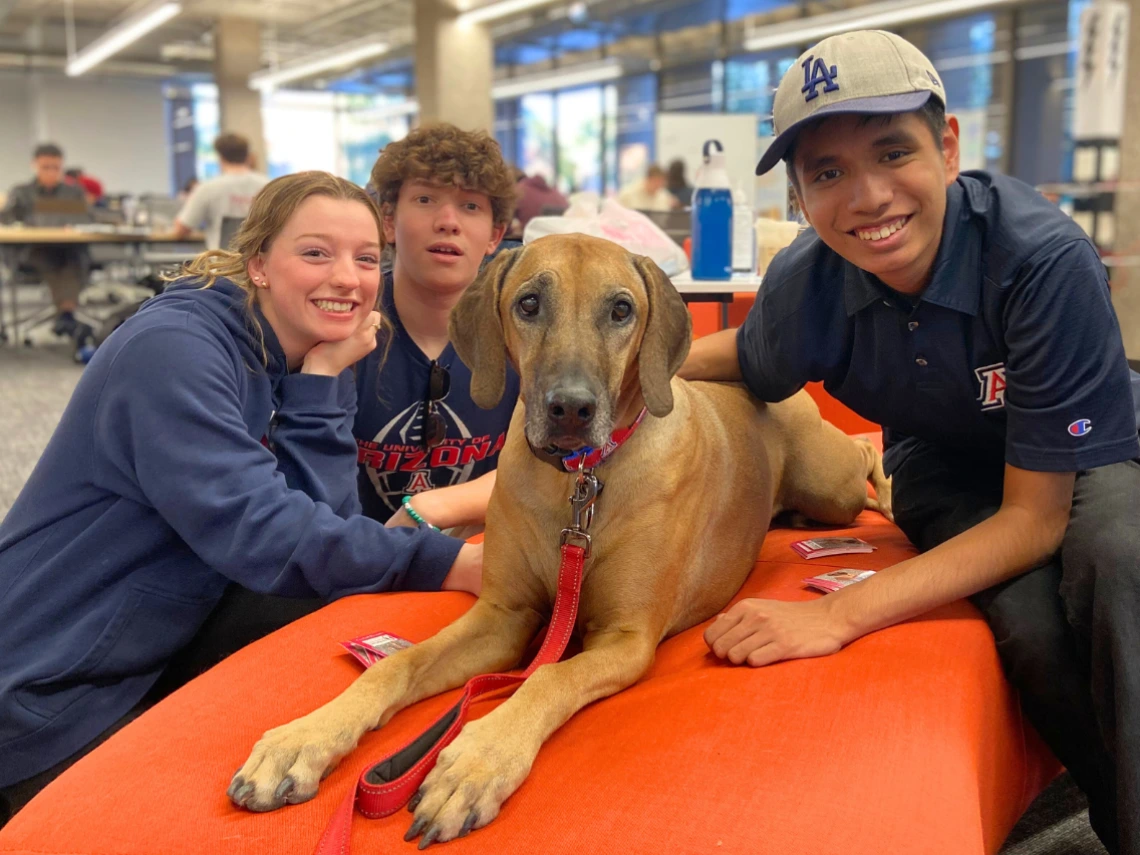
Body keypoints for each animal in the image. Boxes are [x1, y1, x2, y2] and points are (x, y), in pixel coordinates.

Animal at [229, 232, 889, 843]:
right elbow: (396, 665)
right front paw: (304, 738)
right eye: (529, 303)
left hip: (828, 484)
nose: (571, 408)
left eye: (621, 309)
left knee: (861, 456)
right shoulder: (502, 617)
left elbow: (548, 678)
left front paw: (477, 760)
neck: (578, 481)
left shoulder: (624, 640)